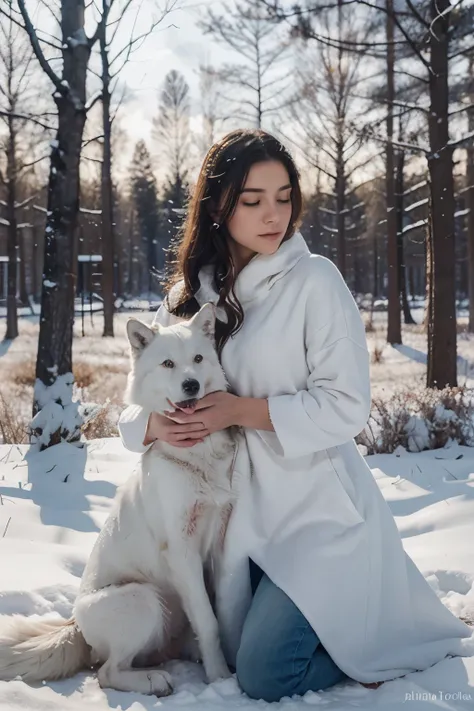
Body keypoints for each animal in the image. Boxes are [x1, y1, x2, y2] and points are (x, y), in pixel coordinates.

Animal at [0, 304, 243, 696]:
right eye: (168, 364)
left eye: (198, 359)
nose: (191, 385)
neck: (197, 456)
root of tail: (75, 625)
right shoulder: (182, 550)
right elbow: (208, 621)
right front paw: (221, 680)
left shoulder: (218, 536)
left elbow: (217, 610)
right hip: (143, 599)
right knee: (107, 672)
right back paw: (154, 680)